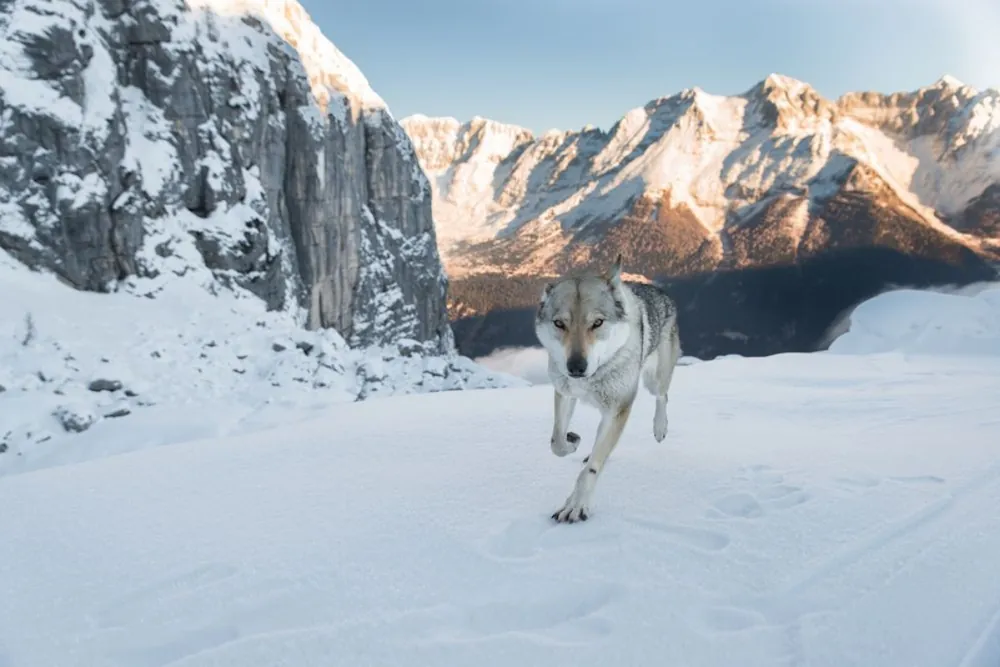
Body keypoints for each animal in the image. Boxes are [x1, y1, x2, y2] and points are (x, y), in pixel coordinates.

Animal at [534, 255, 681, 523]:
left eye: (597, 323)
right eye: (559, 324)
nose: (576, 367)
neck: (593, 378)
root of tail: (660, 292)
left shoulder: (618, 409)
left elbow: (591, 469)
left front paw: (576, 506)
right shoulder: (564, 392)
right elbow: (557, 442)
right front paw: (572, 441)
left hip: (655, 379)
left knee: (662, 396)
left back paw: (660, 428)